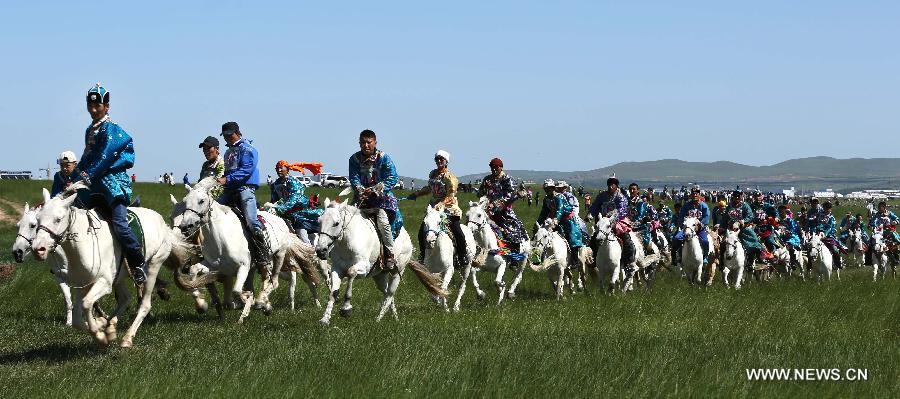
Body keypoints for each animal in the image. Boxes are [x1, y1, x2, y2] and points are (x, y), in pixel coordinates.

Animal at [31, 186, 172, 348]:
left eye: (58, 219)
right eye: (37, 220)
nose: (38, 249)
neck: (84, 242)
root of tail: (162, 222)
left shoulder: (104, 282)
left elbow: (87, 304)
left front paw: (99, 334)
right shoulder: (83, 284)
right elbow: (77, 320)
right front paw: (102, 325)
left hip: (153, 266)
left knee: (145, 304)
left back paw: (127, 337)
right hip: (120, 276)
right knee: (125, 298)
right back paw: (111, 325)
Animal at [178, 180, 298, 324]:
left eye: (201, 201)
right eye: (185, 201)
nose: (185, 226)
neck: (221, 239)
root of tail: (280, 219)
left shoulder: (243, 267)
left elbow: (236, 291)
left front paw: (247, 301)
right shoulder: (213, 266)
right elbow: (193, 272)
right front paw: (201, 305)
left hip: (278, 256)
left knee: (274, 282)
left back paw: (262, 303)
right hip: (258, 266)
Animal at [316, 198, 446, 324]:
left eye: (336, 223)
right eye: (319, 221)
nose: (320, 250)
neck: (347, 242)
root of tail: (407, 239)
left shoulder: (363, 268)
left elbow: (351, 272)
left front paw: (346, 308)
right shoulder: (337, 269)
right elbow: (333, 293)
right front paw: (324, 319)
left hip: (397, 273)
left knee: (389, 294)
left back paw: (378, 319)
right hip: (379, 276)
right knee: (386, 292)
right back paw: (395, 317)